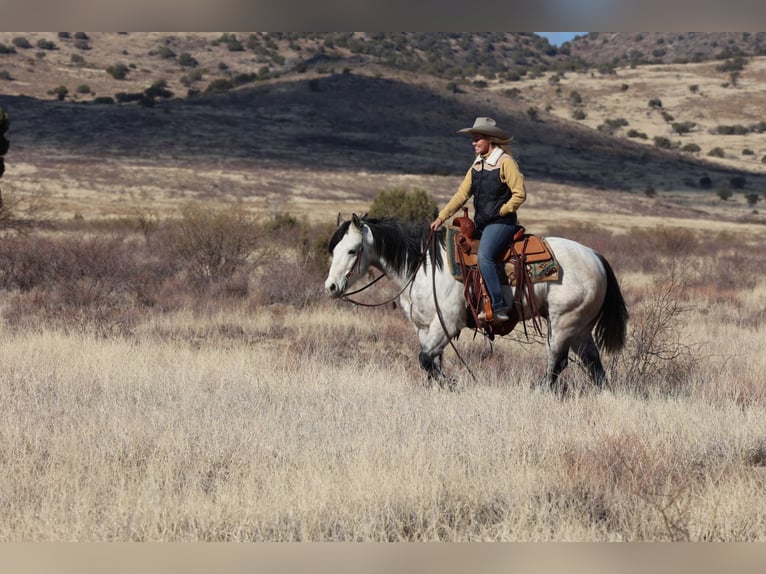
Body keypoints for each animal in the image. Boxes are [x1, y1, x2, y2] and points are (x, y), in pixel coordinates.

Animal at [324, 214, 632, 394]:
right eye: (333, 249)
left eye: (352, 250)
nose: (331, 287)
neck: (425, 265)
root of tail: (595, 256)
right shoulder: (424, 326)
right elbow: (432, 361)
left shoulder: (447, 323)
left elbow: (425, 359)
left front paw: (452, 386)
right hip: (580, 328)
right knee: (594, 365)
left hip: (563, 323)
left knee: (557, 362)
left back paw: (538, 392)